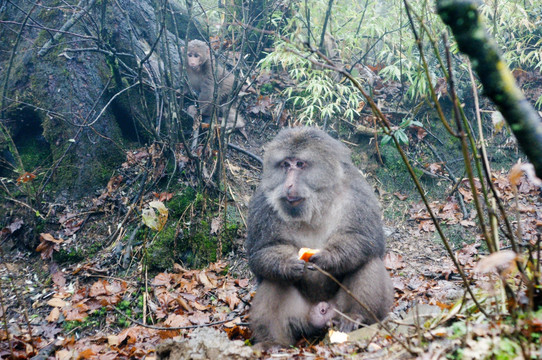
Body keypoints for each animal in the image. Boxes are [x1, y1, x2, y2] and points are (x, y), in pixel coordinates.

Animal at [248, 128, 396, 348]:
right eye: (285, 165)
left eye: (300, 164)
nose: (288, 184)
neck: (316, 202)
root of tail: (321, 310)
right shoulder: (262, 202)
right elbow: (260, 254)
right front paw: (287, 265)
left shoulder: (358, 191)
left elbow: (368, 239)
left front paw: (329, 258)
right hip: (300, 315)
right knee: (273, 280)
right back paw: (273, 343)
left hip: (341, 307)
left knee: (367, 260)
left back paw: (355, 316)